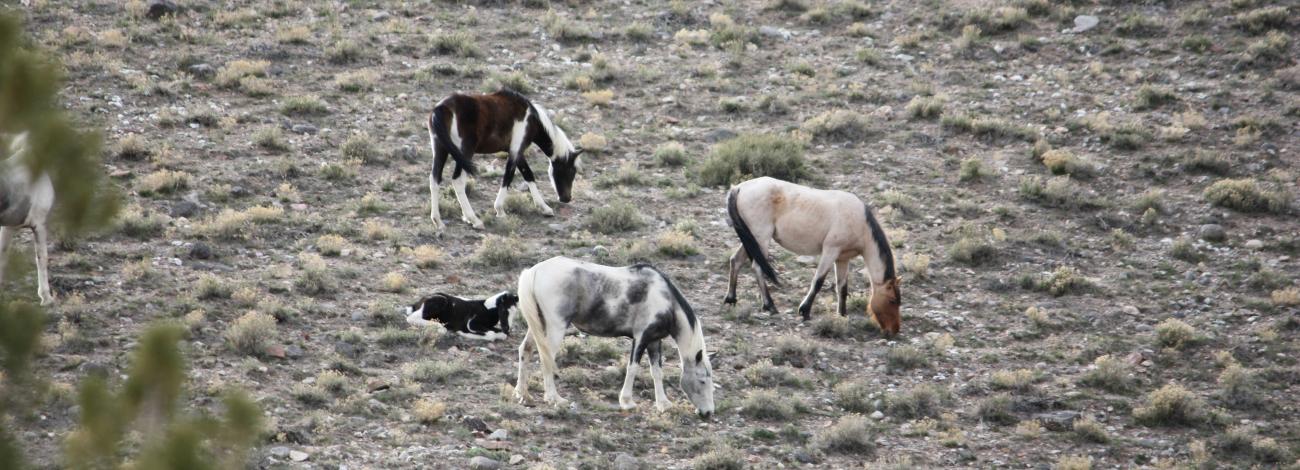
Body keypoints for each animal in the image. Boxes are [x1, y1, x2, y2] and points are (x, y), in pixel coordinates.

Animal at [426, 89, 583, 231]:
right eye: (570, 170)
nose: (566, 198)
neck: (531, 118)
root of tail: (442, 108)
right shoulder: (515, 151)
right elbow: (508, 176)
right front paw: (500, 210)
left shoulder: (517, 152)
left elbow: (528, 175)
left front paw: (544, 208)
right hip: (465, 152)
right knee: (457, 180)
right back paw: (474, 220)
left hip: (440, 149)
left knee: (435, 179)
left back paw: (438, 221)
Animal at [514, 256, 715, 418]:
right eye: (702, 380)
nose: (708, 413)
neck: (666, 299)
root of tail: (534, 271)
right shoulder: (641, 338)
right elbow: (632, 368)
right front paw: (627, 401)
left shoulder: (654, 341)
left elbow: (657, 372)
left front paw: (663, 404)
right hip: (555, 328)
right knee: (546, 359)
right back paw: (554, 398)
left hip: (538, 326)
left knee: (526, 350)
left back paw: (523, 394)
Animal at [722, 177, 902, 337]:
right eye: (892, 300)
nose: (893, 331)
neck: (861, 223)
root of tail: (739, 188)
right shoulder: (830, 251)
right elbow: (818, 282)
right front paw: (805, 311)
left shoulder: (842, 258)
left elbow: (842, 288)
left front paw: (842, 315)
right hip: (761, 238)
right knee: (757, 267)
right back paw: (770, 305)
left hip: (750, 239)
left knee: (736, 261)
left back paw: (731, 299)